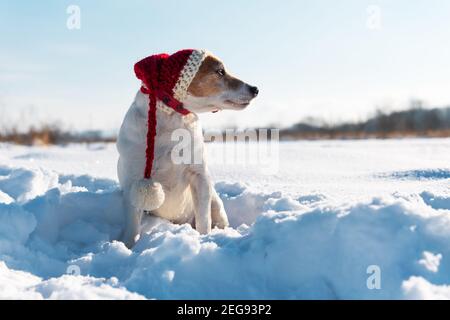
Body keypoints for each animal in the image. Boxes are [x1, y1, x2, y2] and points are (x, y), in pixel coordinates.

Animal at [117, 49, 256, 248]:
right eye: (220, 71)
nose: (255, 89)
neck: (170, 120)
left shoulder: (200, 177)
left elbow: (204, 219)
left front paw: (205, 239)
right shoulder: (132, 182)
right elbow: (132, 227)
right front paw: (128, 247)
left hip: (216, 204)